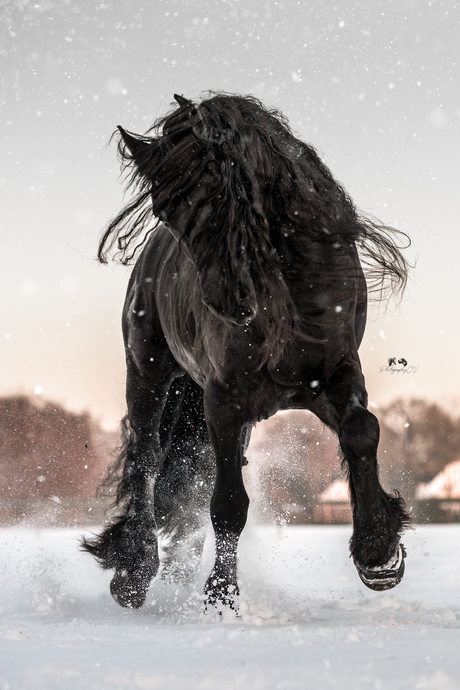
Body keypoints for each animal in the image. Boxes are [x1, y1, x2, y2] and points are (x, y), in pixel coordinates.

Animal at [82, 91, 411, 610]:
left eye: (220, 191)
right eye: (164, 210)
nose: (223, 301)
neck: (292, 293)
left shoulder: (334, 375)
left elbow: (361, 431)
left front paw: (379, 554)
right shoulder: (224, 399)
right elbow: (228, 504)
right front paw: (220, 597)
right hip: (149, 371)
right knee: (147, 457)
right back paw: (134, 573)